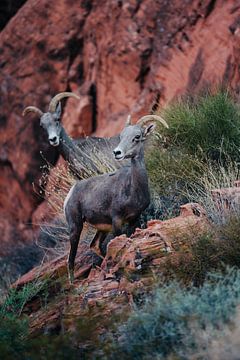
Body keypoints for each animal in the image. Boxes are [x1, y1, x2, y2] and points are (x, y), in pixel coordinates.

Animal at [63, 114, 169, 282]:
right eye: (121, 136)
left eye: (137, 137)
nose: (117, 152)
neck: (133, 188)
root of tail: (71, 192)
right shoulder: (117, 221)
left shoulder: (134, 219)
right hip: (75, 227)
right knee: (70, 259)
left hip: (101, 228)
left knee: (95, 245)